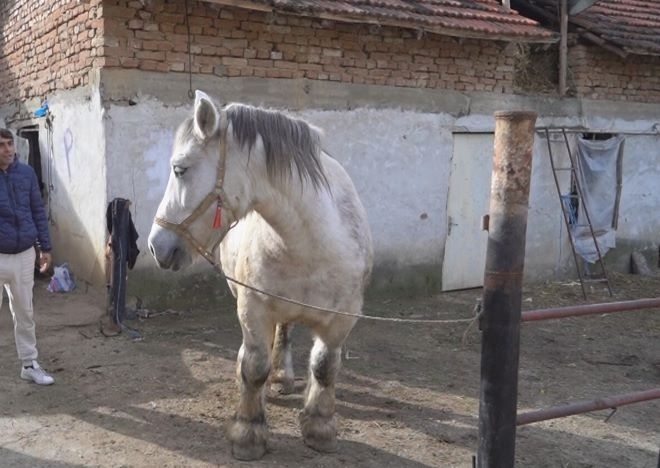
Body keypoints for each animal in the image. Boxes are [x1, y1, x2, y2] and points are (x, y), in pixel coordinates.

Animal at [150, 90, 374, 460]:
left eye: (180, 169)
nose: (156, 246)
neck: (313, 243)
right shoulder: (253, 308)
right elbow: (253, 367)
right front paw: (248, 432)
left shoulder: (341, 320)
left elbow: (325, 366)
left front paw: (319, 428)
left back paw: (282, 377)